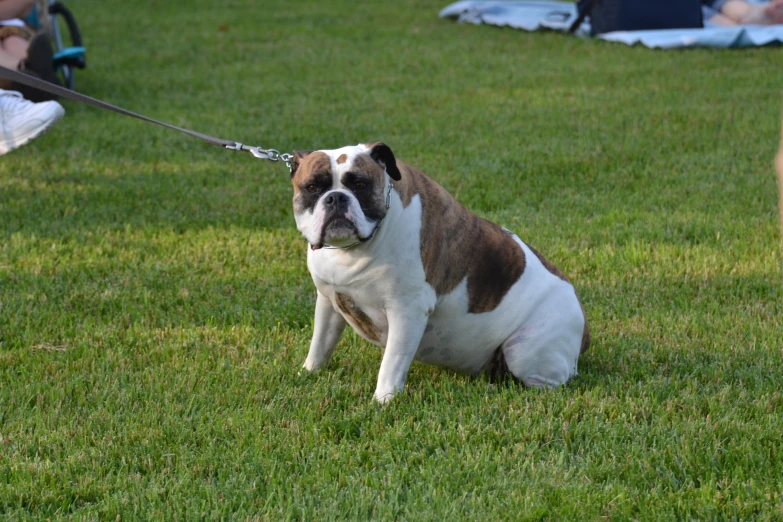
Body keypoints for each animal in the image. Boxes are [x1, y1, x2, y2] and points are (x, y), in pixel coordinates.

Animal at [290, 142, 592, 402]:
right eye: (312, 187)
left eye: (360, 185)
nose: (336, 198)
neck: (352, 250)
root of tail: (583, 323)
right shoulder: (328, 302)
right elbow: (320, 343)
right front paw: (309, 372)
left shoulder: (406, 311)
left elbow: (392, 362)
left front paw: (384, 400)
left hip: (524, 350)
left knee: (549, 383)